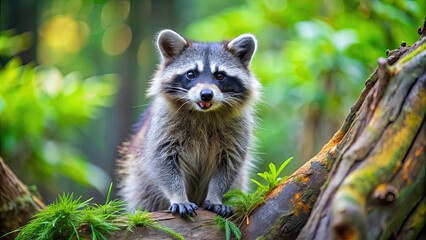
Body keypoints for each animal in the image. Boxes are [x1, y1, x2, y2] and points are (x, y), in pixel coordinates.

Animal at [117, 30, 260, 218]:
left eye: (220, 76)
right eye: (191, 74)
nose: (206, 94)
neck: (204, 113)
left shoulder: (238, 130)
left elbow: (229, 166)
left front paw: (215, 196)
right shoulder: (164, 127)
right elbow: (163, 162)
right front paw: (179, 196)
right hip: (140, 183)